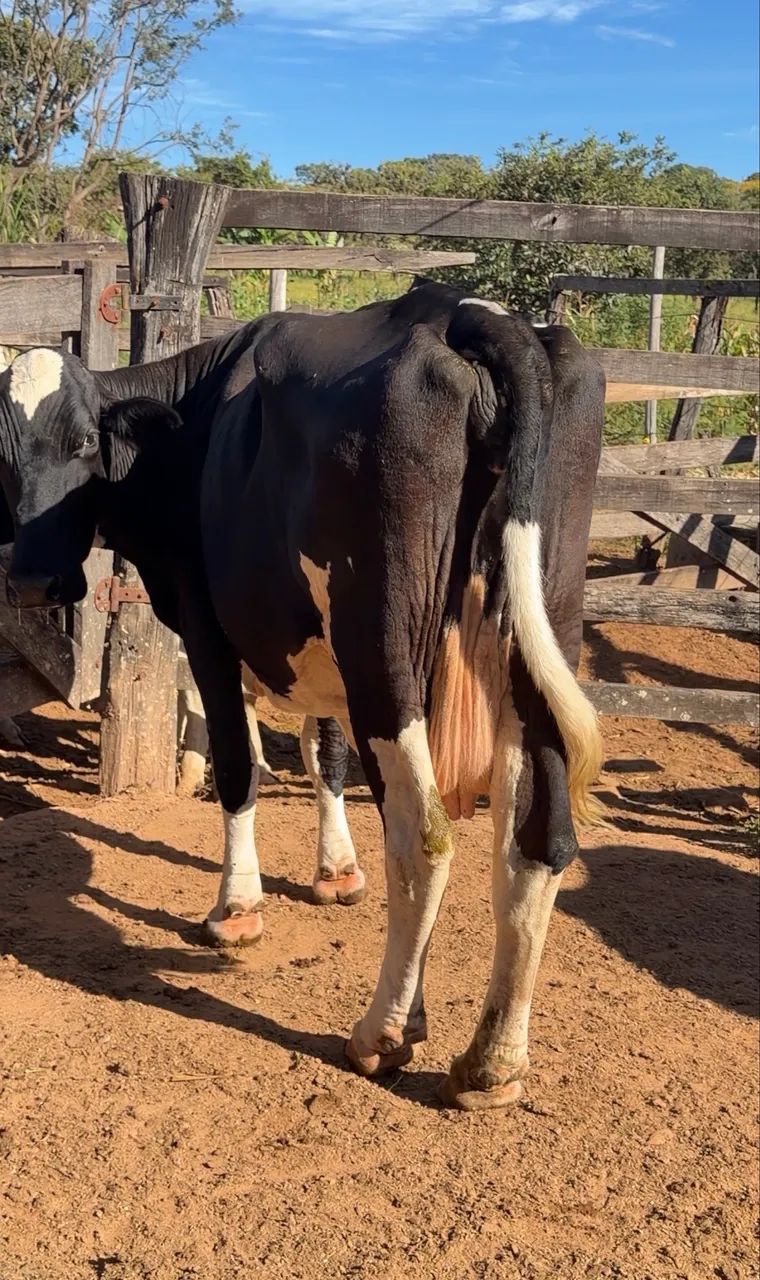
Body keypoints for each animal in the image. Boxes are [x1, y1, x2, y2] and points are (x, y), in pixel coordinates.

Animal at [0, 281, 604, 1109]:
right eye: (1, 451)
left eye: (87, 443)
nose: (31, 579)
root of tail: (469, 311)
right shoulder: (318, 657)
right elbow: (327, 756)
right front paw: (336, 873)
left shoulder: (207, 625)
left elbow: (239, 765)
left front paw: (236, 908)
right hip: (537, 639)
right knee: (537, 839)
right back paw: (491, 1063)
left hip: (384, 645)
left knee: (424, 833)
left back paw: (384, 1032)